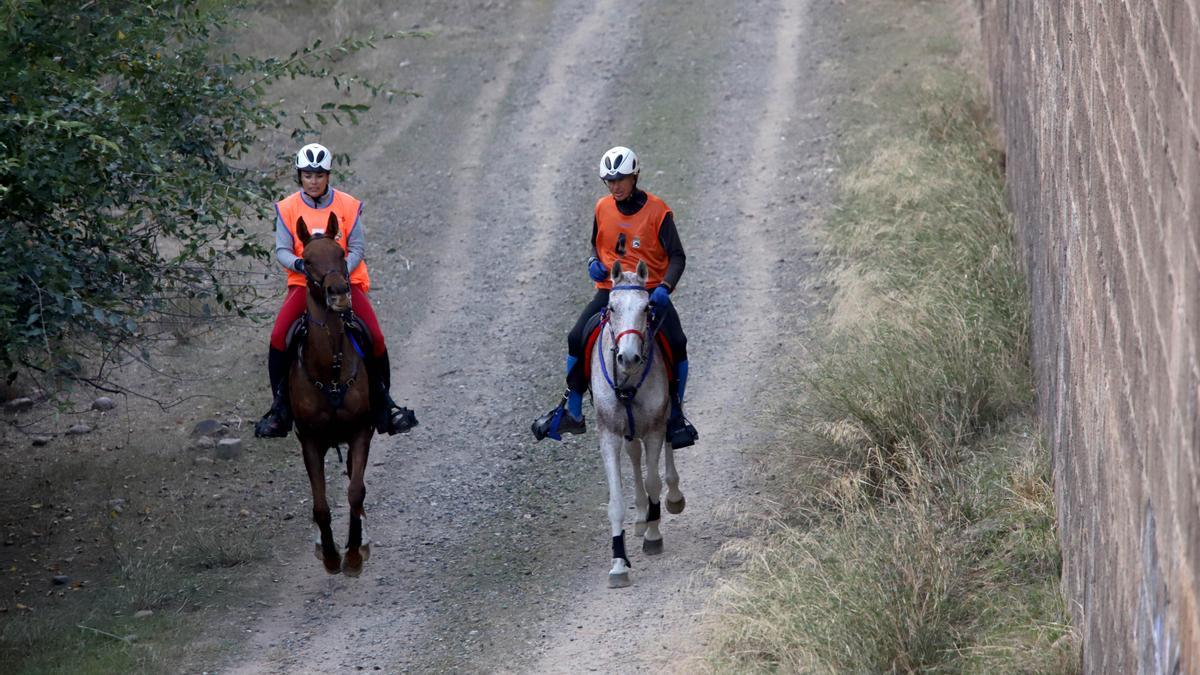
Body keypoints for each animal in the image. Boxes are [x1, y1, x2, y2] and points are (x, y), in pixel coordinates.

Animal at [590, 260, 686, 586]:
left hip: (667, 411)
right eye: (612, 307)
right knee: (633, 456)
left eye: (646, 307)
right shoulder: (608, 435)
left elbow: (654, 481)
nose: (628, 357)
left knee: (669, 444)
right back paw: (642, 517)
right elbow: (616, 502)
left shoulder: (655, 428)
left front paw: (654, 536)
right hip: (629, 431)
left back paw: (673, 499)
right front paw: (618, 564)